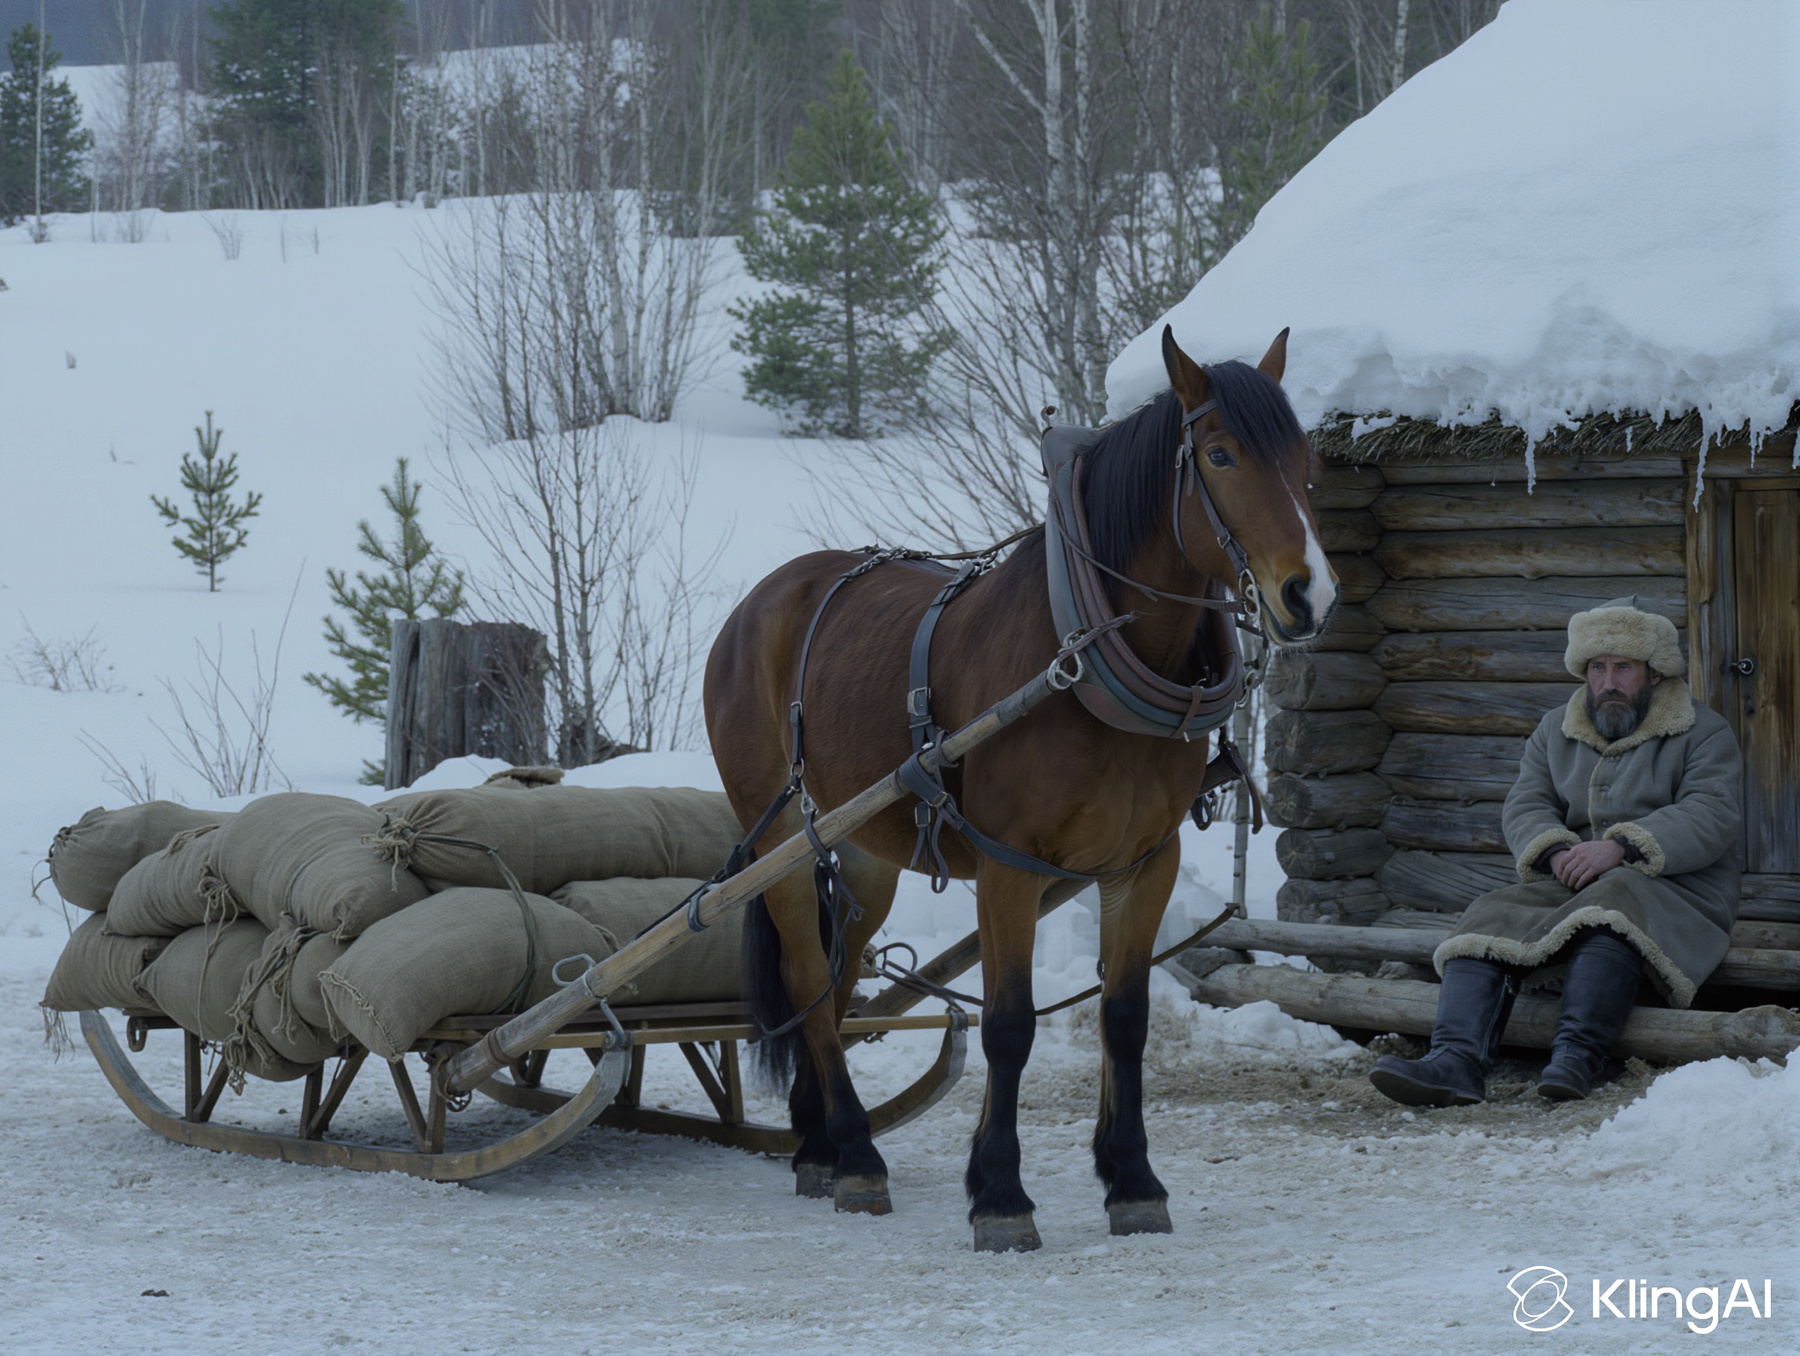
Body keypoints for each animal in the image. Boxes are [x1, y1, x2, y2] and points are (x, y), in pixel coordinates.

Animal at [703, 327, 1336, 1252]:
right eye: (1220, 454)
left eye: (1305, 457)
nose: (1309, 593)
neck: (1080, 654)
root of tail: (761, 600)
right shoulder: (1010, 866)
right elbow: (1007, 1024)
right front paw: (1001, 1194)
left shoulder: (1143, 861)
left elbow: (1124, 1017)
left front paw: (1132, 1180)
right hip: (780, 840)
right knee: (811, 982)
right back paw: (856, 1155)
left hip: (865, 849)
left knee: (836, 981)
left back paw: (820, 1143)